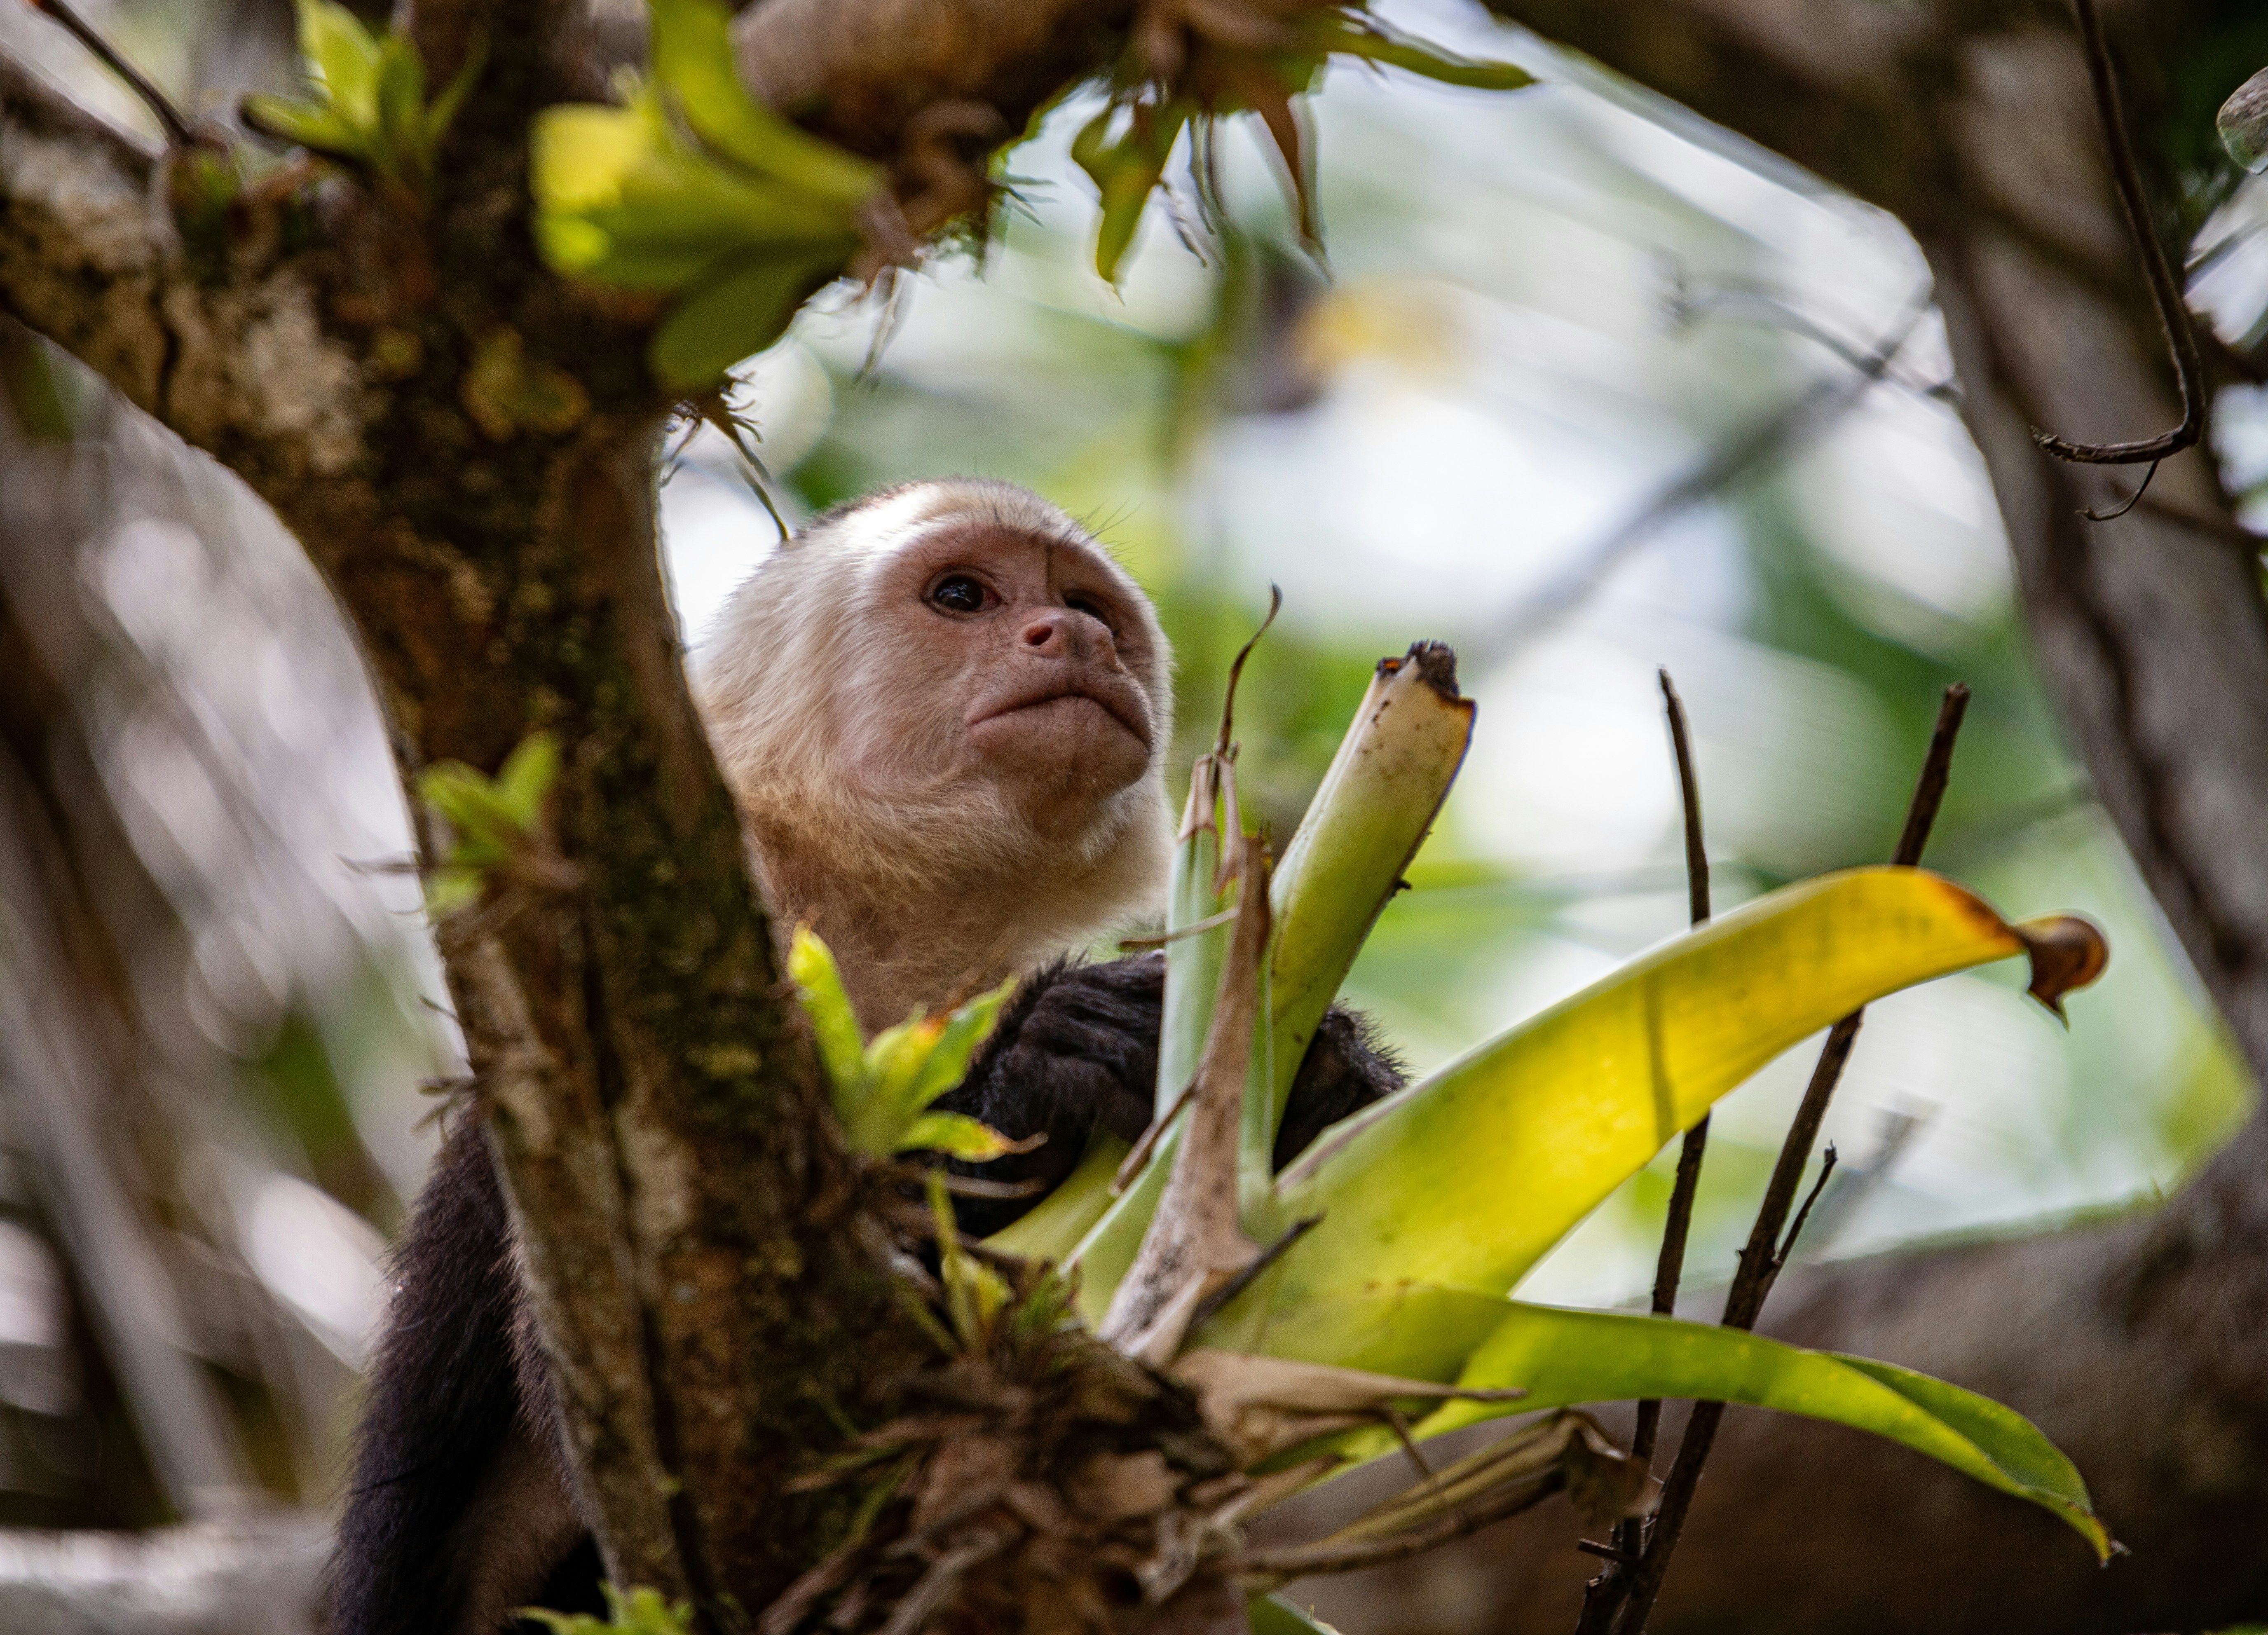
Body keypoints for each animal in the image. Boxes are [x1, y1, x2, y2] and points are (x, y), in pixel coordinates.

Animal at [329, 479, 1406, 1635]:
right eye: (962, 596)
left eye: (1086, 605)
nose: (1071, 634)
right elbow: (712, 1426)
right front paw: (1045, 1057)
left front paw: (1327, 1079)